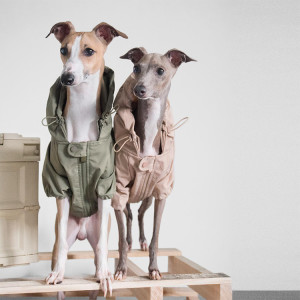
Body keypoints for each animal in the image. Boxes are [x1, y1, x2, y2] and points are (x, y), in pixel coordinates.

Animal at [45, 21, 127, 298]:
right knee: (59, 246)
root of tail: (81, 232)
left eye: (89, 51)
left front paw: (104, 276)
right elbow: (61, 248)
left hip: (97, 227)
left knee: (98, 251)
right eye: (63, 49)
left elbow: (101, 246)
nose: (66, 78)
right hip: (64, 231)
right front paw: (57, 274)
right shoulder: (59, 185)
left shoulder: (105, 185)